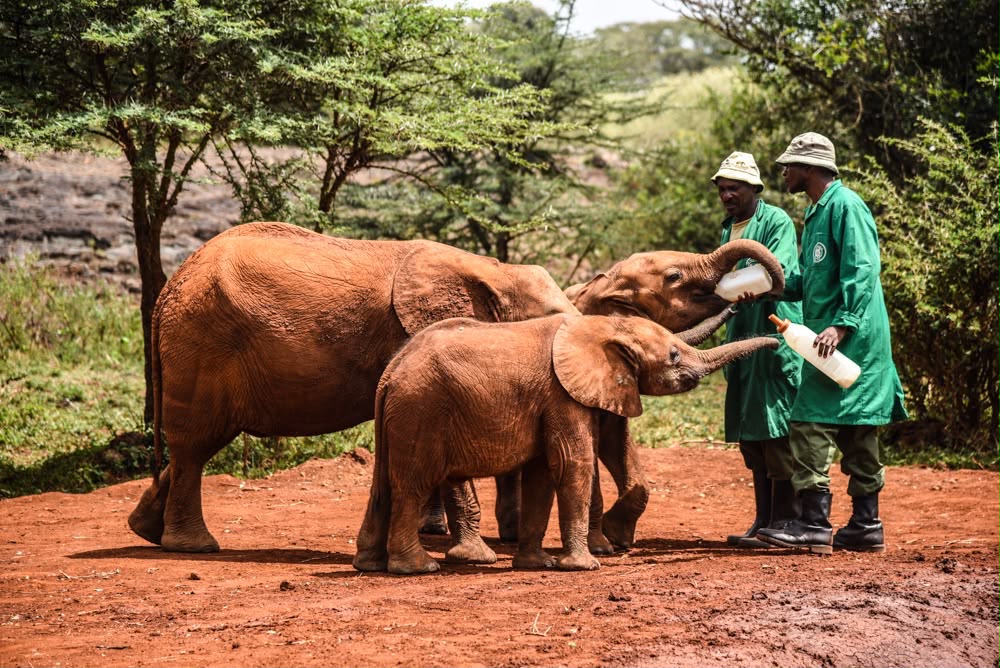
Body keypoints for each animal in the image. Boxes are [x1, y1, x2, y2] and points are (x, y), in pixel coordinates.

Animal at [127, 221, 579, 553]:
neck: (495, 270)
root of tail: (168, 290)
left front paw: (435, 532)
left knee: (192, 446)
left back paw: (144, 529)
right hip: (202, 345)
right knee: (196, 445)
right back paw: (194, 546)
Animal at [352, 313, 780, 575]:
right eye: (674, 355)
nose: (778, 341)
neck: (605, 326)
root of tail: (391, 373)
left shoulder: (552, 400)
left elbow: (542, 474)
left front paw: (537, 564)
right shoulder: (562, 394)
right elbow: (573, 464)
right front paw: (585, 567)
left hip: (402, 415)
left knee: (383, 485)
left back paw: (370, 565)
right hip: (421, 409)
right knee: (413, 483)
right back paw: (419, 567)